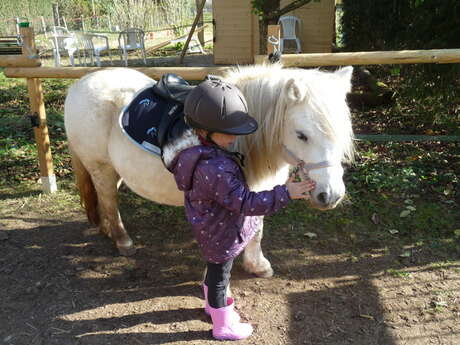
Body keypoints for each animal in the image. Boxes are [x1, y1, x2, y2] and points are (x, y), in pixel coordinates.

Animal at [63, 62, 354, 276]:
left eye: (342, 132)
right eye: (302, 135)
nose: (331, 195)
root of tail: (79, 84)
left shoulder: (260, 191)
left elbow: (257, 229)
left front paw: (257, 265)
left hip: (114, 171)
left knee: (104, 199)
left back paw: (107, 230)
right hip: (100, 167)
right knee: (109, 200)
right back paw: (123, 240)